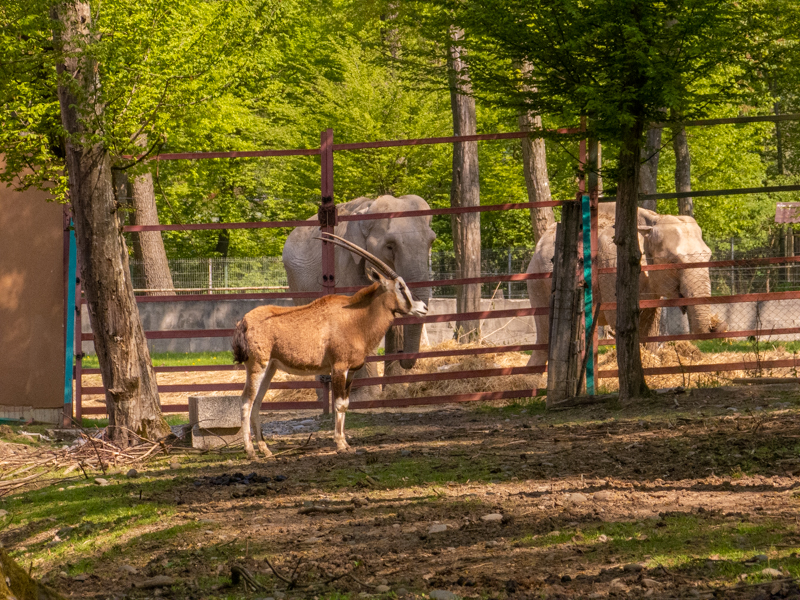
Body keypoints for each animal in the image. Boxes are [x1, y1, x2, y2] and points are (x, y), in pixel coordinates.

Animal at [282, 194, 436, 400]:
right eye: (390, 246)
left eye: (431, 242)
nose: (404, 355)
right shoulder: (346, 262)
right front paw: (366, 398)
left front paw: (395, 392)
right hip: (297, 282)